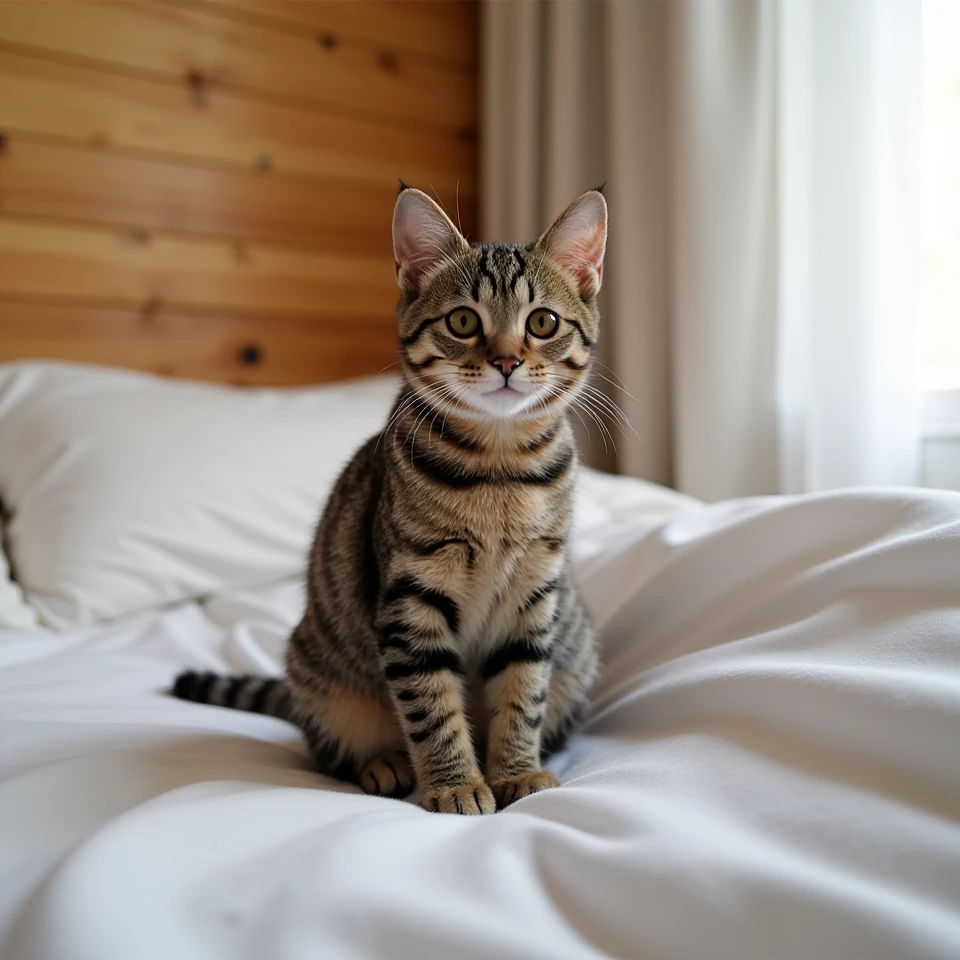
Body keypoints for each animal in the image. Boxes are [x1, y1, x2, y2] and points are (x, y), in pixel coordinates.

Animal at [171, 184, 608, 812]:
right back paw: (385, 764)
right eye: (463, 320)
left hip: (576, 663)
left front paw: (516, 772)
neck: (499, 471)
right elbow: (431, 706)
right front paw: (456, 783)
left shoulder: (534, 595)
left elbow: (523, 693)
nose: (506, 361)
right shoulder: (412, 598)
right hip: (323, 677)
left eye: (543, 322)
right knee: (331, 751)